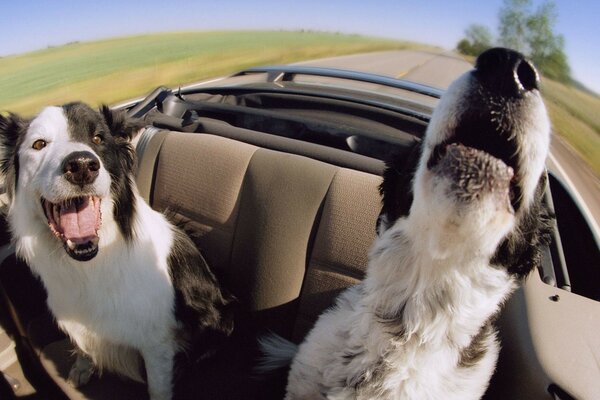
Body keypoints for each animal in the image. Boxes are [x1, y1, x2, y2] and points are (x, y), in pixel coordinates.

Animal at [0, 104, 234, 400]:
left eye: (98, 138)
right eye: (39, 144)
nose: (81, 166)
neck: (90, 264)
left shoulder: (157, 344)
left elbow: (158, 388)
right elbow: (83, 346)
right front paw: (82, 368)